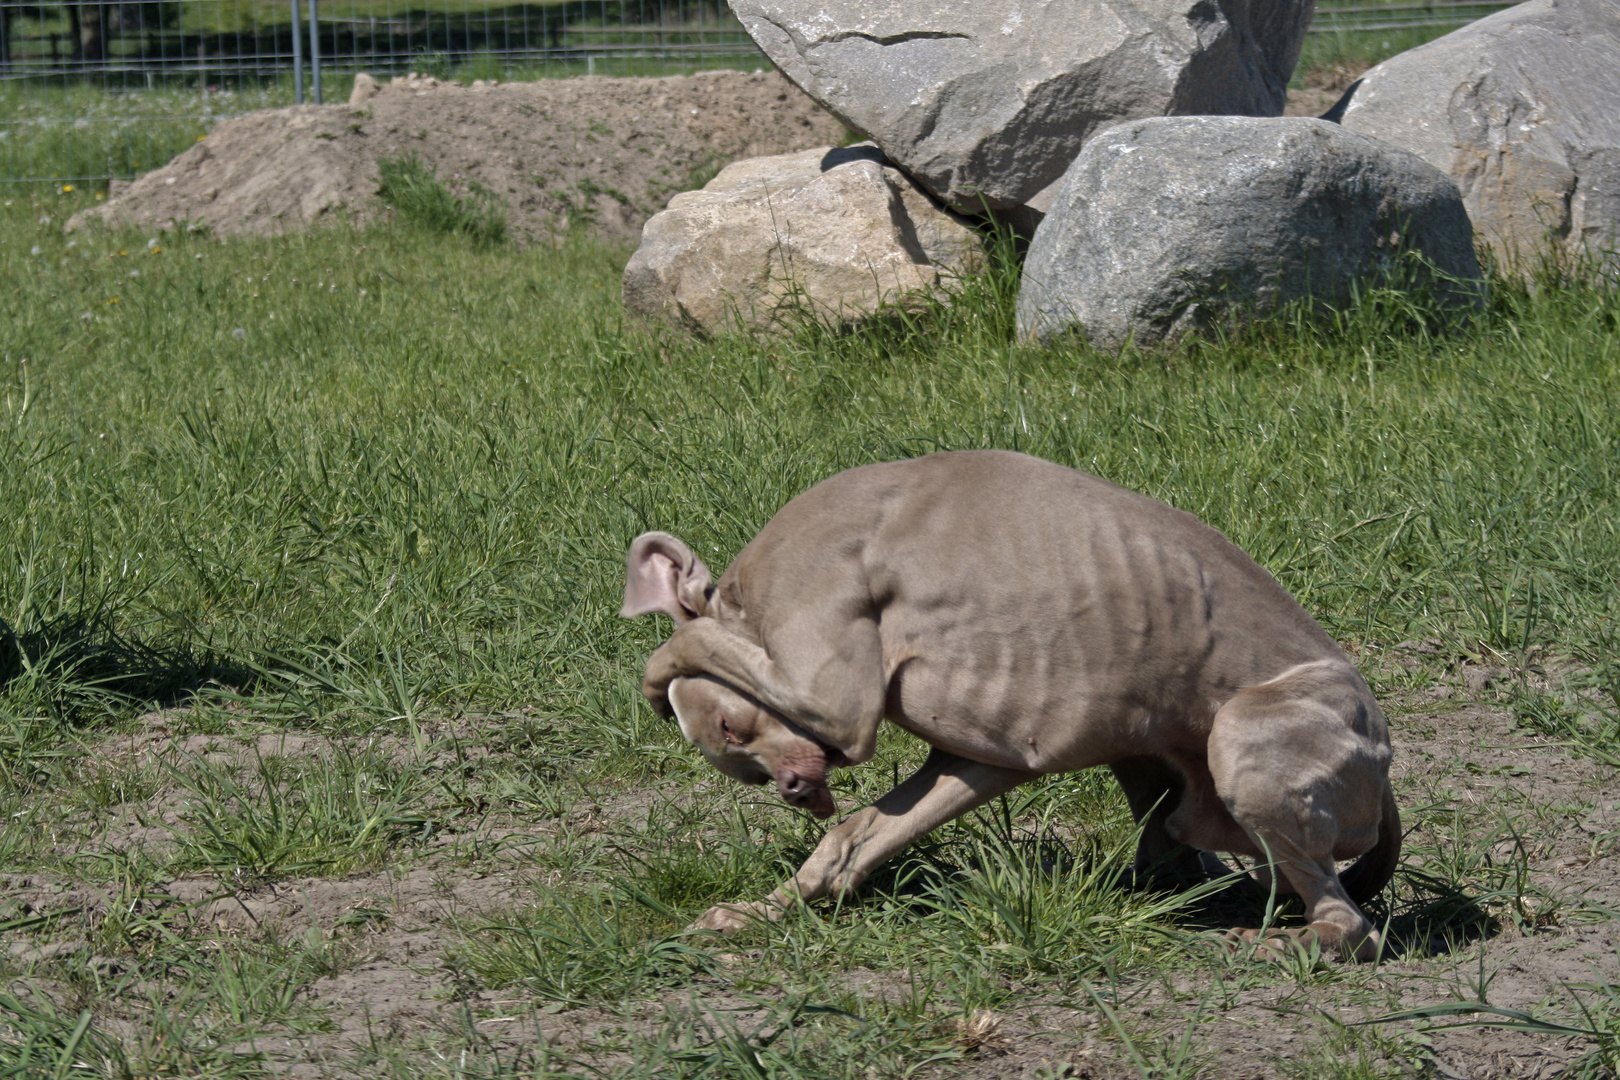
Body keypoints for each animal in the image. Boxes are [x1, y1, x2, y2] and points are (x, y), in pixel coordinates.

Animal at [625, 453, 1399, 958]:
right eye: (746, 771)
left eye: (733, 727)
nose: (794, 788)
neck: (749, 591)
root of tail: (1384, 765)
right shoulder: (985, 756)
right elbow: (851, 841)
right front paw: (757, 912)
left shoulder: (830, 682)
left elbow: (693, 644)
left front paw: (660, 668)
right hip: (1164, 767)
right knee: (1187, 845)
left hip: (1245, 736)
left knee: (1352, 925)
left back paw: (1290, 942)